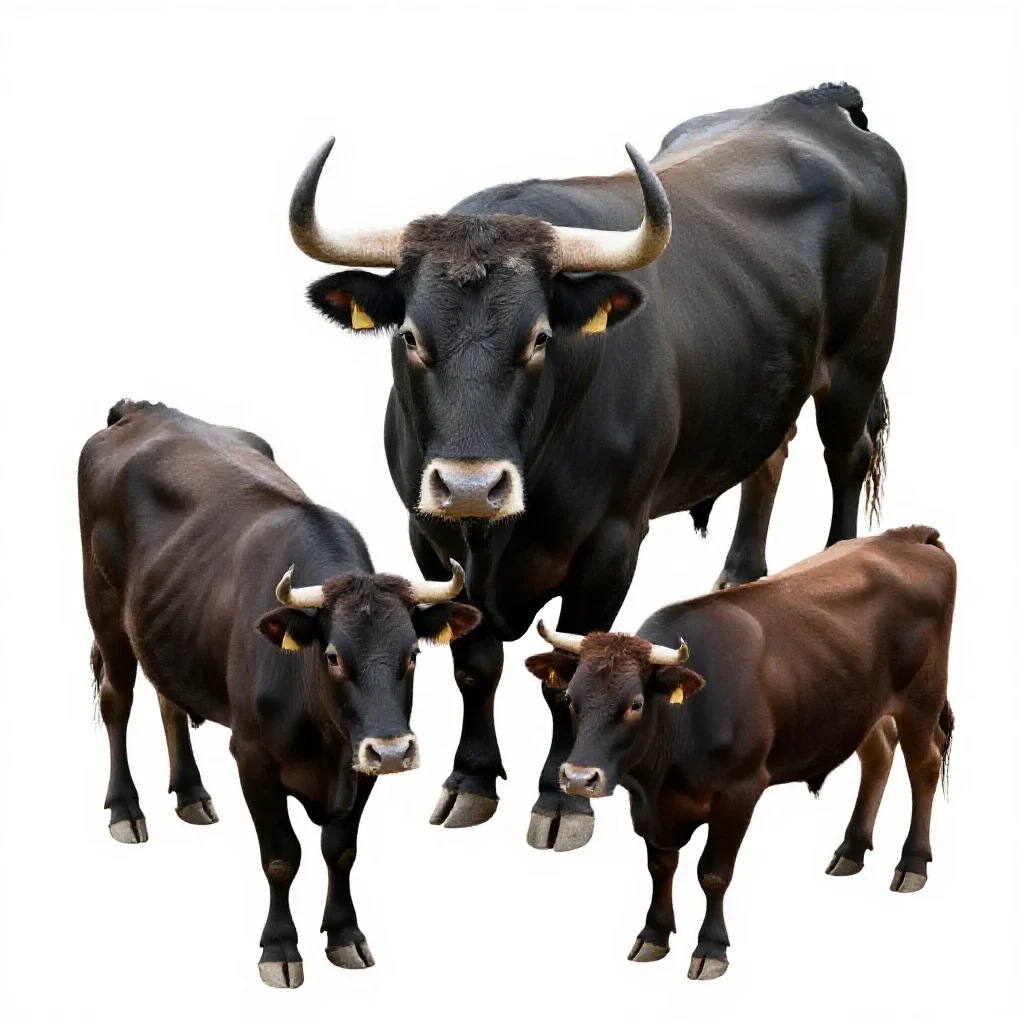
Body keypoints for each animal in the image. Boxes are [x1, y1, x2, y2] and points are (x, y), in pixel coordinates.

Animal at [78, 400, 481, 987]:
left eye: (413, 654)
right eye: (332, 656)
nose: (392, 751)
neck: (325, 743)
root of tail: (143, 410)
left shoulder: (358, 764)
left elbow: (341, 850)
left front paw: (345, 934)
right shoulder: (254, 759)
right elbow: (281, 857)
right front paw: (280, 947)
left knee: (167, 698)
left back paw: (191, 793)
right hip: (105, 610)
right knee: (117, 700)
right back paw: (124, 809)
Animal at [288, 83, 906, 852]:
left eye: (539, 338)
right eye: (409, 337)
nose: (471, 486)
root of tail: (814, 103)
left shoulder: (611, 544)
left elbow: (568, 674)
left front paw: (562, 799)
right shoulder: (426, 533)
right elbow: (474, 665)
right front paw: (471, 779)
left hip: (855, 368)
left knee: (844, 458)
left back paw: (832, 562)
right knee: (771, 453)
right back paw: (740, 573)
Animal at [524, 525, 956, 979]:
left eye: (636, 704)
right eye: (571, 699)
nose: (578, 778)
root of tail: (907, 536)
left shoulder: (740, 792)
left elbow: (713, 874)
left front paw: (711, 947)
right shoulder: (652, 808)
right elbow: (661, 866)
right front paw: (654, 935)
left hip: (921, 699)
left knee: (924, 765)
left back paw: (912, 864)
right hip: (863, 709)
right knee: (878, 755)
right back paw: (851, 850)